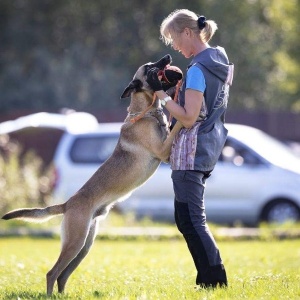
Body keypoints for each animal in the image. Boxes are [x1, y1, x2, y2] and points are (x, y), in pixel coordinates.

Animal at [1, 54, 183, 296]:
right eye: (150, 67)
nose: (168, 56)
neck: (145, 112)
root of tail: (67, 204)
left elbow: (171, 127)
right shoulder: (163, 152)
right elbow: (176, 128)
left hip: (84, 246)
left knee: (62, 275)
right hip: (76, 242)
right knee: (52, 272)